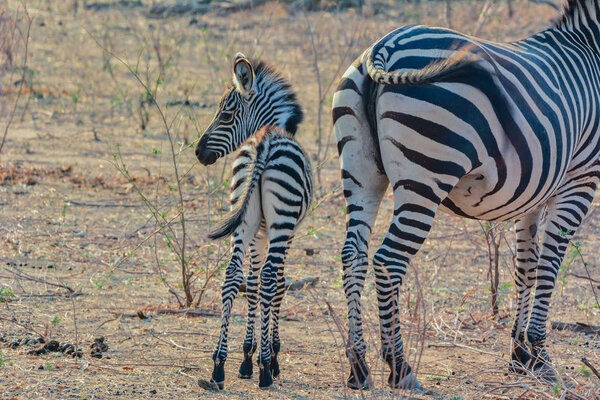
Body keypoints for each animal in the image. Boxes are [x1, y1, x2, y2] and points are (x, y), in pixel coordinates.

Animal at [196, 53, 314, 388]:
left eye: (226, 115)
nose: (197, 152)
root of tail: (264, 143)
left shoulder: (258, 232)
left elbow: (250, 282)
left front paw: (246, 356)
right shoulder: (286, 233)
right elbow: (277, 284)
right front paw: (270, 357)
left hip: (244, 220)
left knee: (232, 276)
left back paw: (219, 365)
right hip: (281, 223)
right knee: (271, 278)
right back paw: (264, 370)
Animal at [332, 0, 600, 390]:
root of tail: (384, 46)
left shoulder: (535, 192)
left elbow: (526, 266)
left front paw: (520, 356)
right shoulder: (580, 179)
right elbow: (549, 266)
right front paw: (540, 357)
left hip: (360, 173)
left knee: (353, 256)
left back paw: (359, 367)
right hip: (426, 175)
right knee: (388, 261)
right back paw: (400, 368)